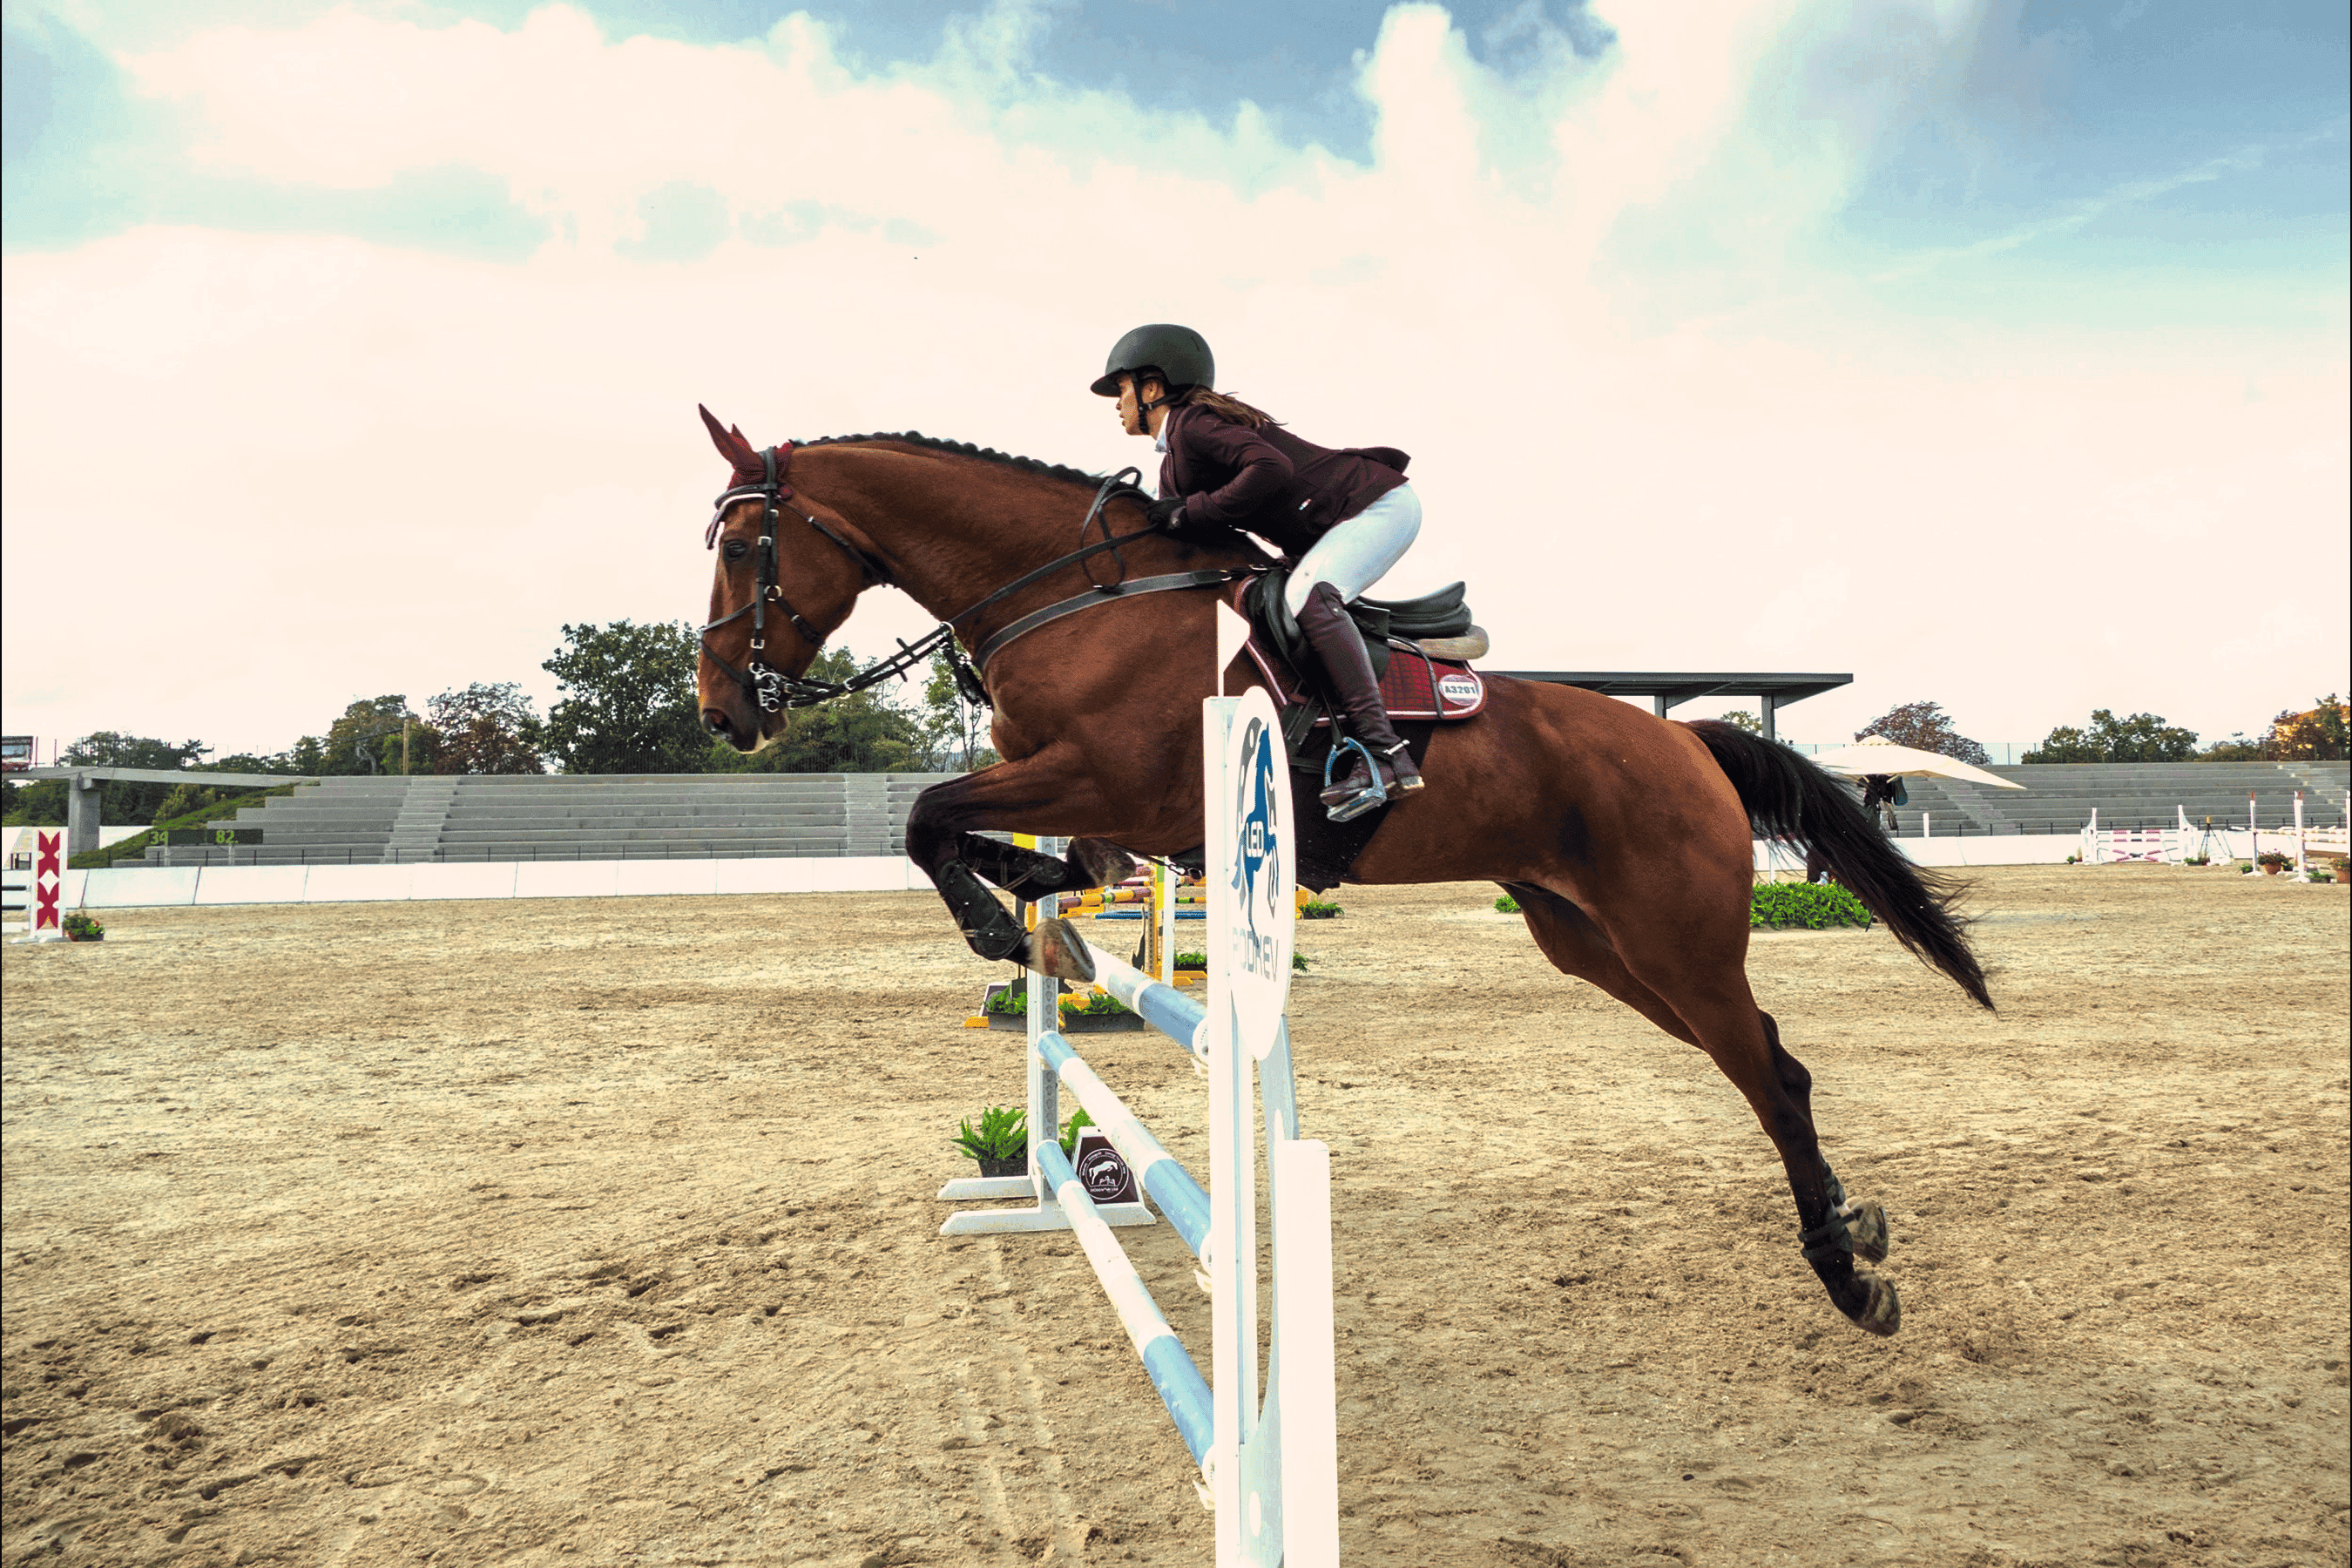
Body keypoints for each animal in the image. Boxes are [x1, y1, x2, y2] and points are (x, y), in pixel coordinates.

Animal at [691, 409, 1991, 1338]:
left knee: (1771, 1075)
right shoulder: (1091, 800)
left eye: (747, 546)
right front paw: (1034, 914)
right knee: (1772, 1061)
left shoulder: (1119, 784)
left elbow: (931, 817)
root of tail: (1686, 738)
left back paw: (1848, 1277)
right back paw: (1854, 1232)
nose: (721, 712)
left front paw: (1005, 930)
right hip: (1596, 944)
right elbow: (999, 841)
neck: (1073, 596)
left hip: (1676, 939)